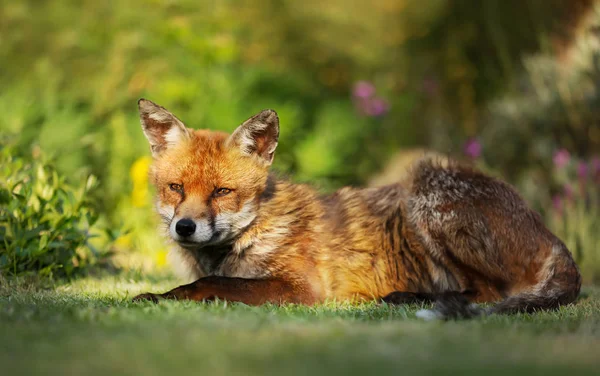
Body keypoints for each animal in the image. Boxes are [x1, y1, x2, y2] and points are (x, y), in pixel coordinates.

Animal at [135, 99, 580, 318]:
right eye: (176, 188)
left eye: (222, 191)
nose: (184, 227)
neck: (254, 230)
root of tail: (549, 231)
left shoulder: (301, 287)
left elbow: (212, 284)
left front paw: (158, 296)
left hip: (426, 186)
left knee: (488, 294)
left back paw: (410, 299)